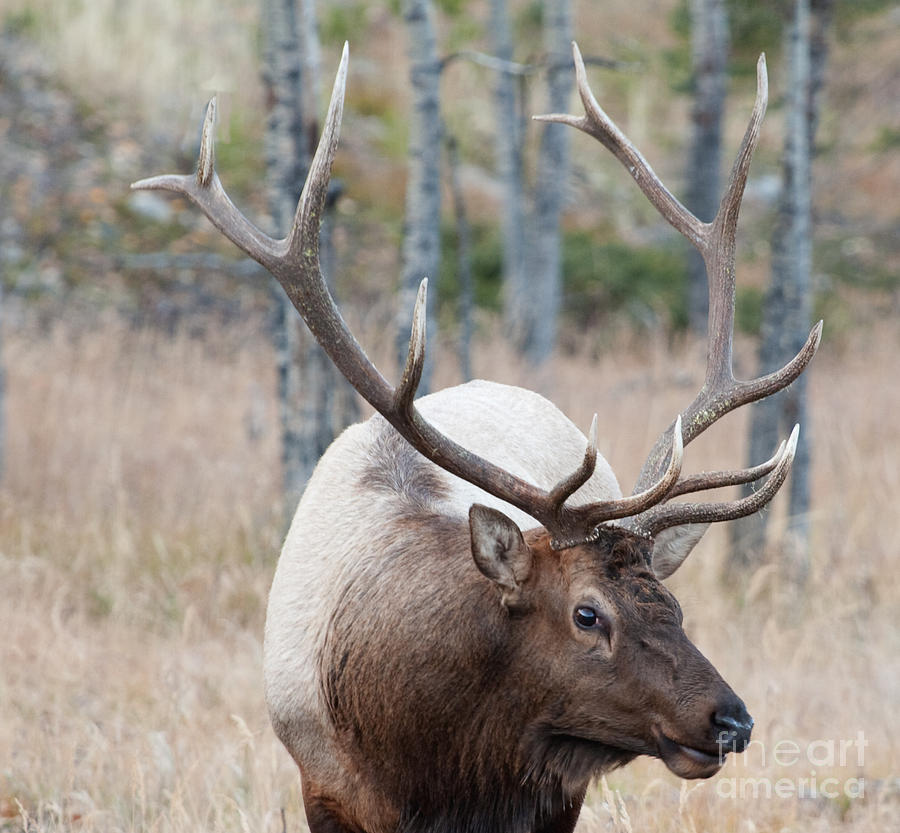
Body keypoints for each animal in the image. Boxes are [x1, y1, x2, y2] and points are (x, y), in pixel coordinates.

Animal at [135, 44, 824, 832]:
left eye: (674, 607)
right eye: (588, 612)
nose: (732, 720)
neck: (419, 765)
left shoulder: (551, 800)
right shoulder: (323, 787)